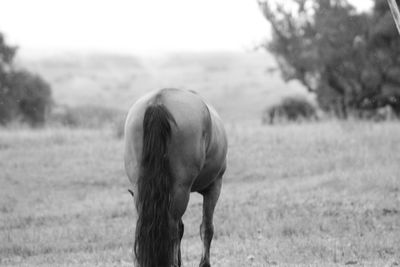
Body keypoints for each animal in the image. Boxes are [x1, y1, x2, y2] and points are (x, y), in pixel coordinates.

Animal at [122, 89, 228, 266]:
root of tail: (158, 101)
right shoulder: (214, 186)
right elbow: (206, 228)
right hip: (182, 190)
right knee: (172, 229)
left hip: (143, 191)